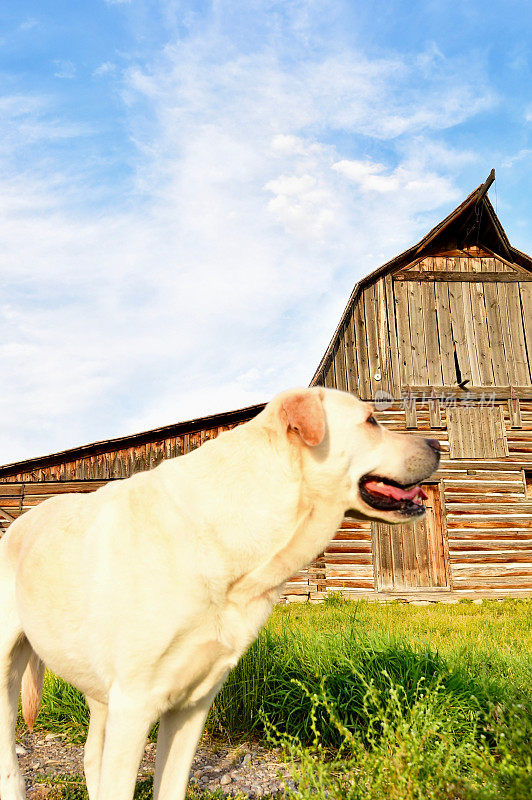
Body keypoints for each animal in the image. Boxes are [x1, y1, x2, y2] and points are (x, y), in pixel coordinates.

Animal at [1, 384, 440, 796]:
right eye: (371, 420)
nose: (436, 444)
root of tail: (20, 521)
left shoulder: (191, 705)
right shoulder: (134, 703)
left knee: (92, 756)